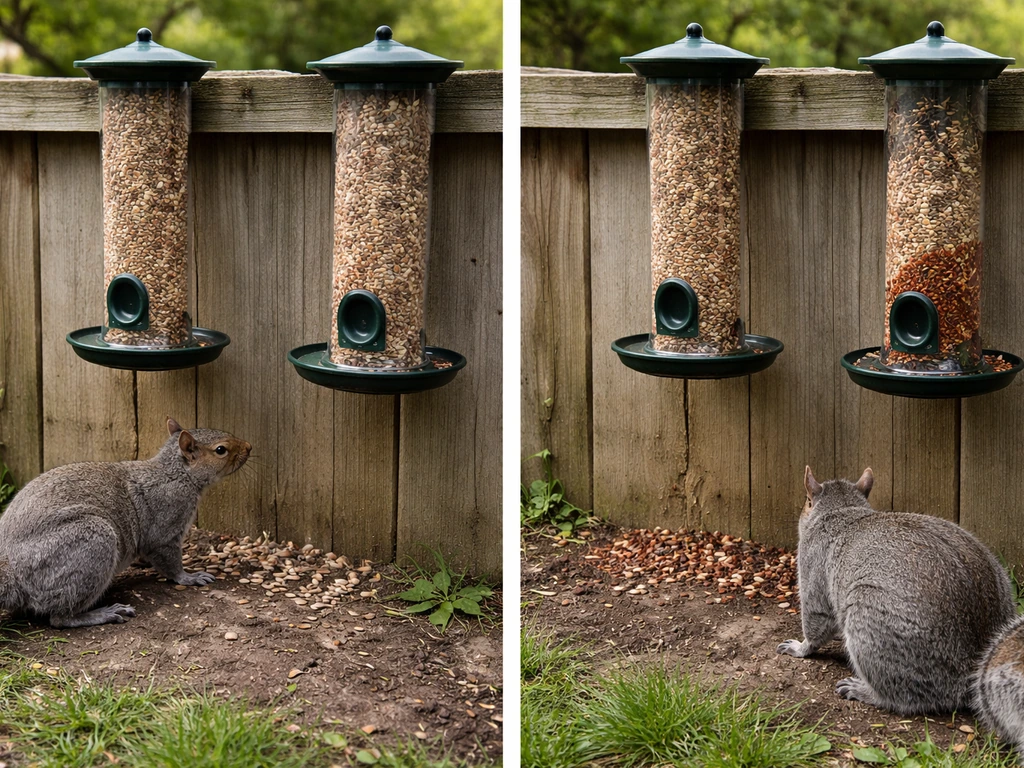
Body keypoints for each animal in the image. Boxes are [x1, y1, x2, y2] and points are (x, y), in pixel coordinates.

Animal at [0, 417, 250, 628]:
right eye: (221, 450)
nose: (249, 447)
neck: (177, 474)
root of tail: (13, 570)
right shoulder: (166, 525)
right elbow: (169, 560)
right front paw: (189, 577)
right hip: (91, 543)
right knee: (60, 617)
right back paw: (101, 614)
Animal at [777, 466, 1015, 715]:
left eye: (807, 501)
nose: (802, 512)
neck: (843, 511)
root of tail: (969, 671)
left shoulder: (813, 563)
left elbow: (816, 619)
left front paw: (800, 647)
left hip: (871, 624)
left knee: (905, 697)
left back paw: (865, 692)